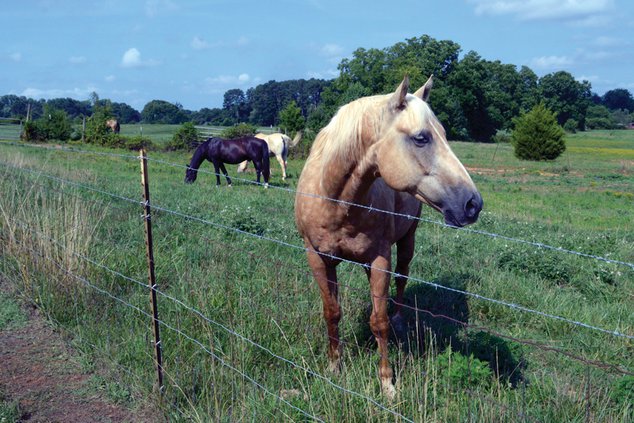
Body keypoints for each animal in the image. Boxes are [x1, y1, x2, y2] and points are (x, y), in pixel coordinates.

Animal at [294, 75, 482, 400]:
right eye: (421, 138)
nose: (473, 204)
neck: (335, 200)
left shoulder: (380, 260)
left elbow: (378, 322)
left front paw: (387, 384)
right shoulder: (317, 258)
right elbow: (332, 312)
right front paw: (333, 366)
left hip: (408, 240)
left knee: (402, 277)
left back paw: (398, 317)